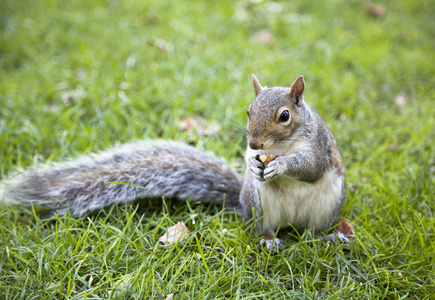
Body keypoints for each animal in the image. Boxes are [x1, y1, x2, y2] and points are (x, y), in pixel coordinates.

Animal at [0, 75, 354, 248]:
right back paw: (269, 241)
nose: (255, 143)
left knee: (315, 232)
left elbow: (310, 168)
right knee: (262, 230)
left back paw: (329, 237)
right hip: (258, 205)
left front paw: (281, 166)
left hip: (327, 205)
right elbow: (250, 160)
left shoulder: (318, 145)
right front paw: (253, 163)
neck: (280, 146)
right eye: (248, 111)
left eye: (284, 116)